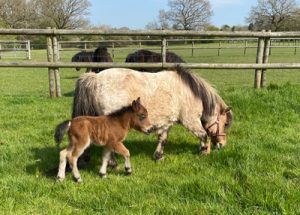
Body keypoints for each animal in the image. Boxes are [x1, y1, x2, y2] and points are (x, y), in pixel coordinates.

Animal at [72, 65, 232, 161]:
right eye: (224, 124)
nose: (222, 144)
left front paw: (159, 156)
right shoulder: (190, 121)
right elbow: (203, 134)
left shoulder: (167, 122)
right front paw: (204, 152)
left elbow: (162, 139)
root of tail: (95, 78)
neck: (190, 92)